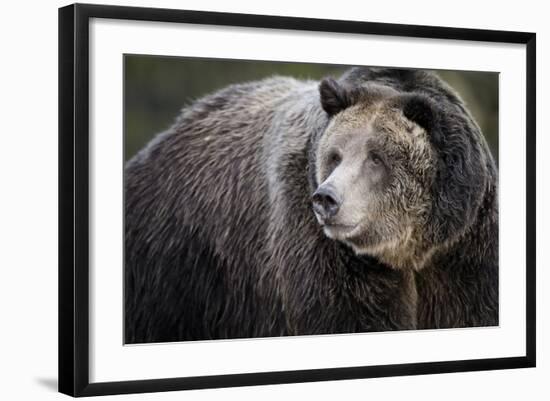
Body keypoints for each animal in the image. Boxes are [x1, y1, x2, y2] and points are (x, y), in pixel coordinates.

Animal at [125, 67, 500, 342]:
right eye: (335, 155)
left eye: (376, 157)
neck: (408, 248)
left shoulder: (463, 249)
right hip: (178, 265)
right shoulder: (323, 249)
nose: (326, 199)